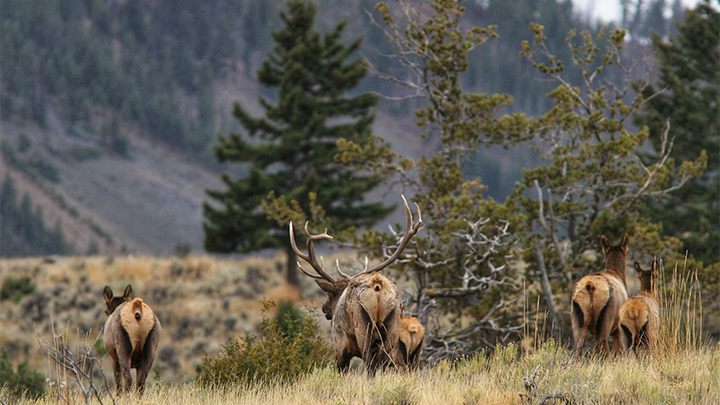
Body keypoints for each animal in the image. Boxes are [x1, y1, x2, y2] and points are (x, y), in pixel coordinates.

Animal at [292, 194, 424, 370]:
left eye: (329, 294)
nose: (324, 308)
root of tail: (377, 285)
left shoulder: (340, 345)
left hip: (363, 326)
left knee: (369, 363)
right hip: (393, 325)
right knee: (381, 363)